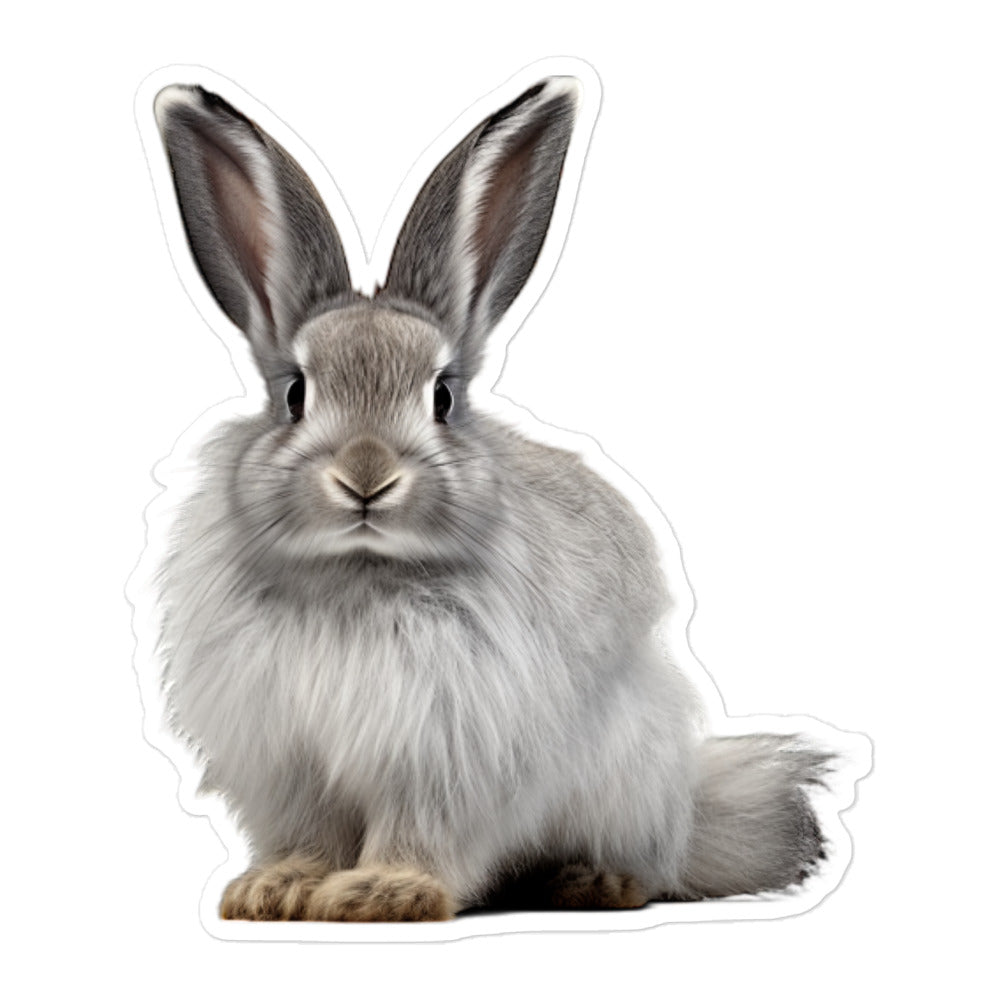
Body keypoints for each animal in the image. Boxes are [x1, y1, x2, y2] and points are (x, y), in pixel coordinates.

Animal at [151, 75, 832, 922]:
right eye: (295, 395)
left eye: (442, 396)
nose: (366, 476)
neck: (361, 573)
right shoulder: (289, 761)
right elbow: (308, 834)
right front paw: (279, 889)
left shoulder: (447, 752)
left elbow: (424, 829)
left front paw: (384, 892)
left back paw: (589, 881)